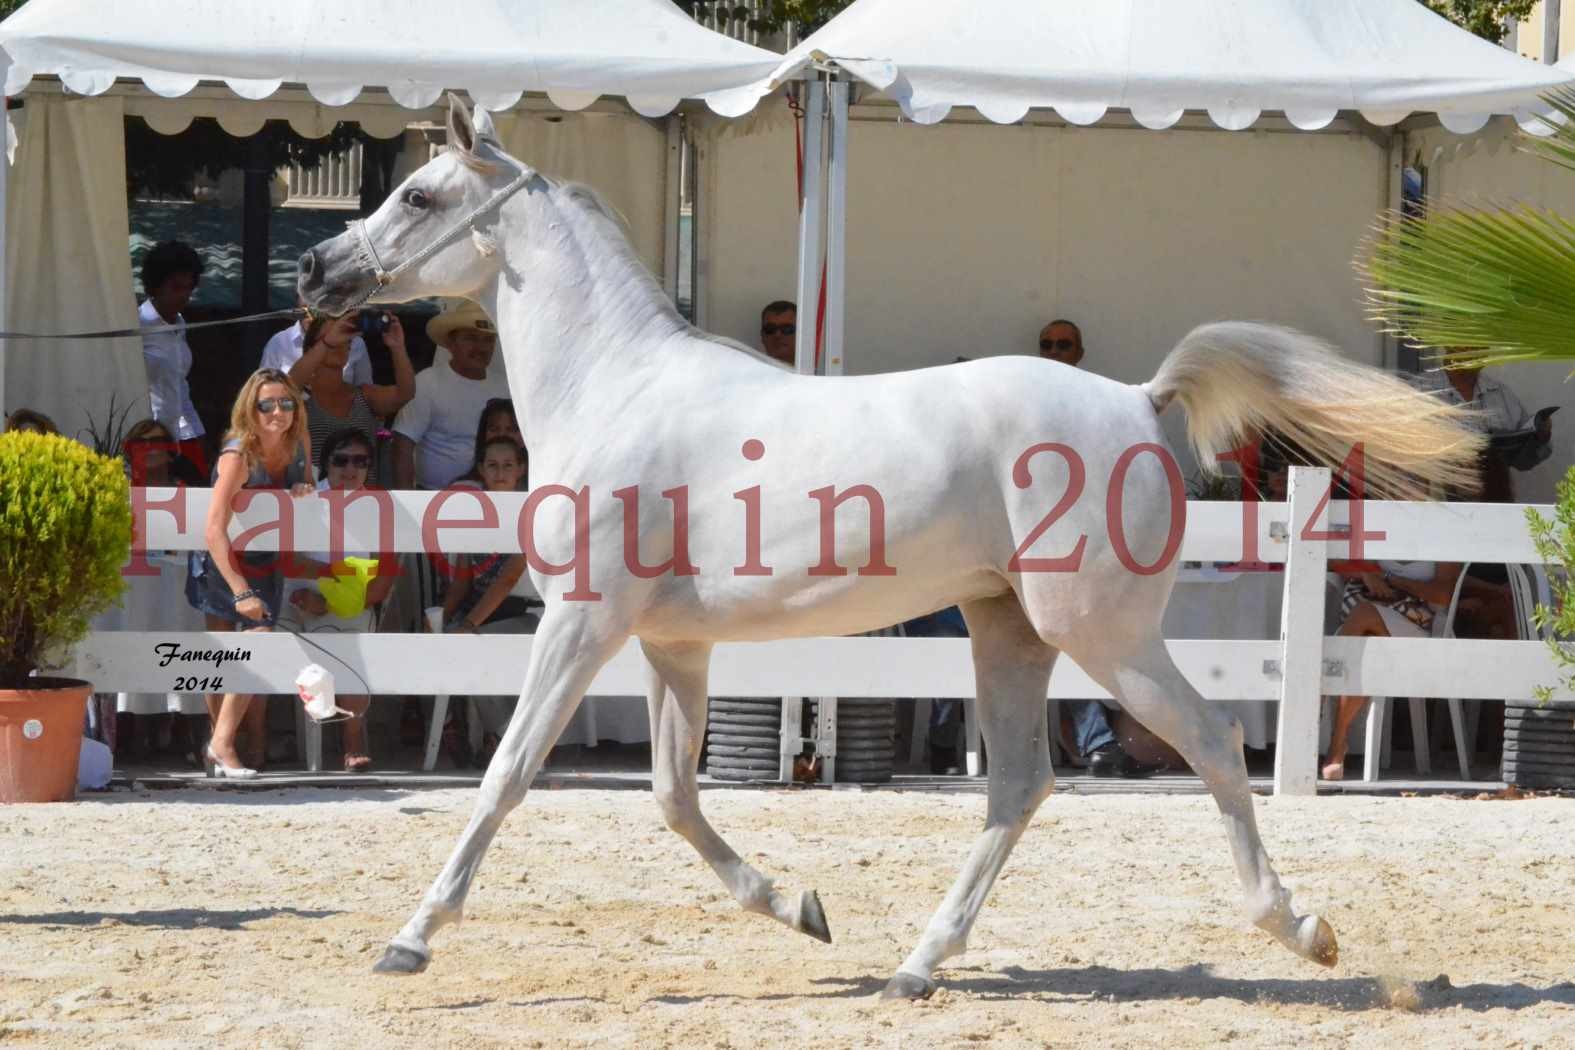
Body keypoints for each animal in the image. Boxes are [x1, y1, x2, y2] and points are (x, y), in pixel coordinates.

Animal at [300, 96, 1480, 994]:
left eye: (418, 197)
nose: (315, 274)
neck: (614, 388)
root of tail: (1141, 401)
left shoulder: (581, 625)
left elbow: (506, 775)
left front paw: (409, 940)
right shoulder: (673, 645)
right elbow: (676, 798)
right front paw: (800, 907)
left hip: (1099, 634)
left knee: (1213, 744)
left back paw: (1302, 929)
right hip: (1008, 633)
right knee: (1019, 786)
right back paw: (919, 964)